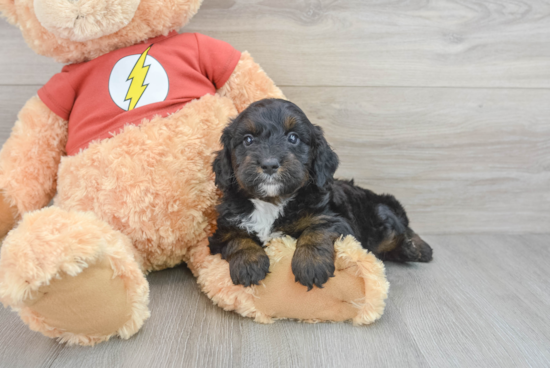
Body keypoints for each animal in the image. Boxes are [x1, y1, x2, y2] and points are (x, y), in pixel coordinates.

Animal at [209, 98, 434, 290]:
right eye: (248, 140)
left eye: (293, 138)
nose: (269, 164)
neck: (272, 202)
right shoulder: (224, 227)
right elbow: (237, 238)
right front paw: (249, 263)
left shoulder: (335, 219)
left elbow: (317, 230)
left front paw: (311, 264)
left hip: (380, 215)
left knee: (399, 230)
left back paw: (417, 248)